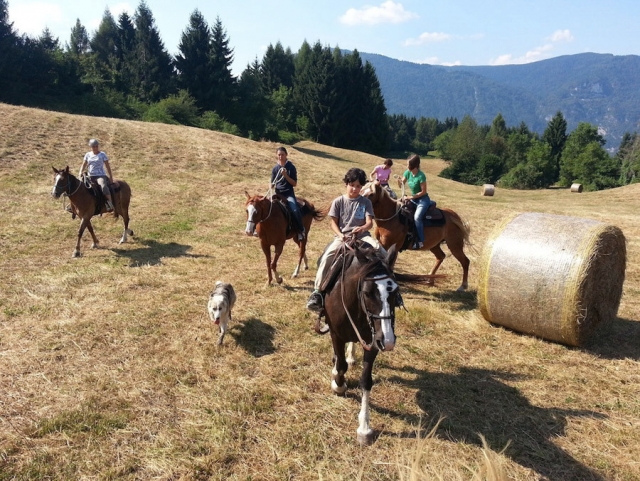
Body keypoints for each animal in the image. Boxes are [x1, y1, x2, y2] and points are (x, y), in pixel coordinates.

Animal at [318, 239, 401, 446]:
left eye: (396, 291)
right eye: (367, 292)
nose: (388, 340)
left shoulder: (374, 341)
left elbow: (366, 380)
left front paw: (364, 428)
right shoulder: (336, 334)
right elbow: (340, 366)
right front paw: (338, 385)